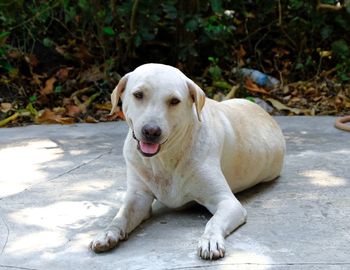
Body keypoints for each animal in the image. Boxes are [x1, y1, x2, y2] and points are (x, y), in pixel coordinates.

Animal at [89, 62, 286, 260]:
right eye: (138, 94)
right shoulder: (138, 197)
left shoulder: (228, 202)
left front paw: (210, 240)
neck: (164, 158)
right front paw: (107, 233)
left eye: (174, 101)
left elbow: (213, 222)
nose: (151, 131)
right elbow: (121, 215)